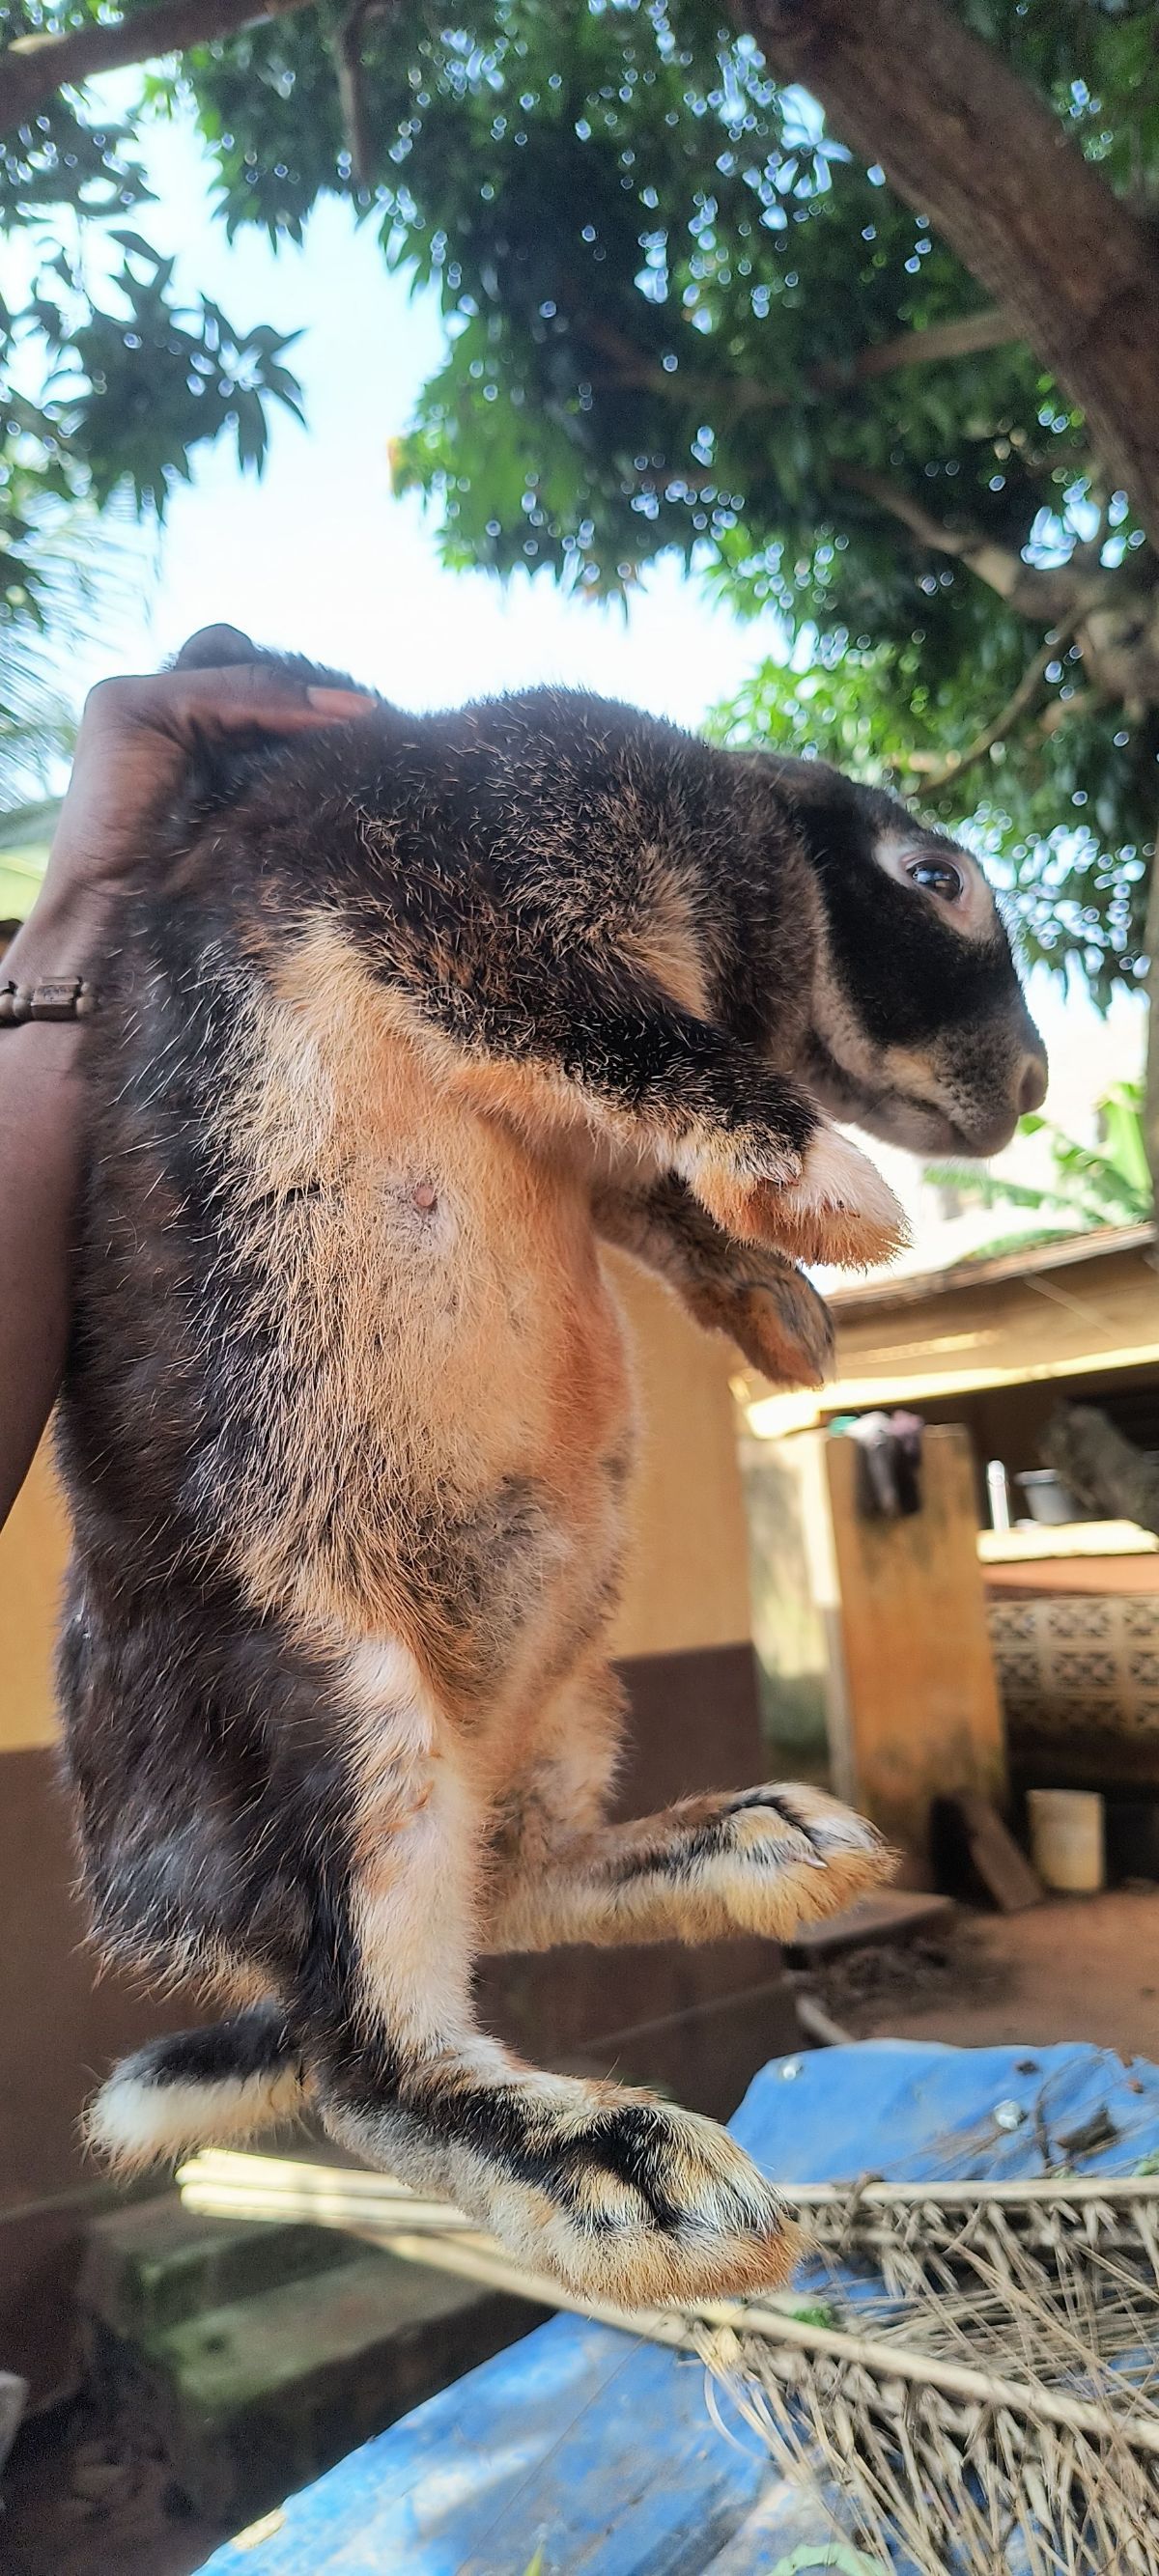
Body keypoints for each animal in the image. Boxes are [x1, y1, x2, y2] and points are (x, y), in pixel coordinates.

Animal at [59, 631, 1046, 2308]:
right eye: (934, 877)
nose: (1037, 1086)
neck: (738, 853)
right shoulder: (458, 892)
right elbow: (627, 1038)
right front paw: (841, 1197)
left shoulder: (576, 1114)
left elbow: (656, 1196)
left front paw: (788, 1319)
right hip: (343, 1712)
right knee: (368, 2059)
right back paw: (627, 2174)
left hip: (570, 1667)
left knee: (517, 1887)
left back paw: (764, 1844)